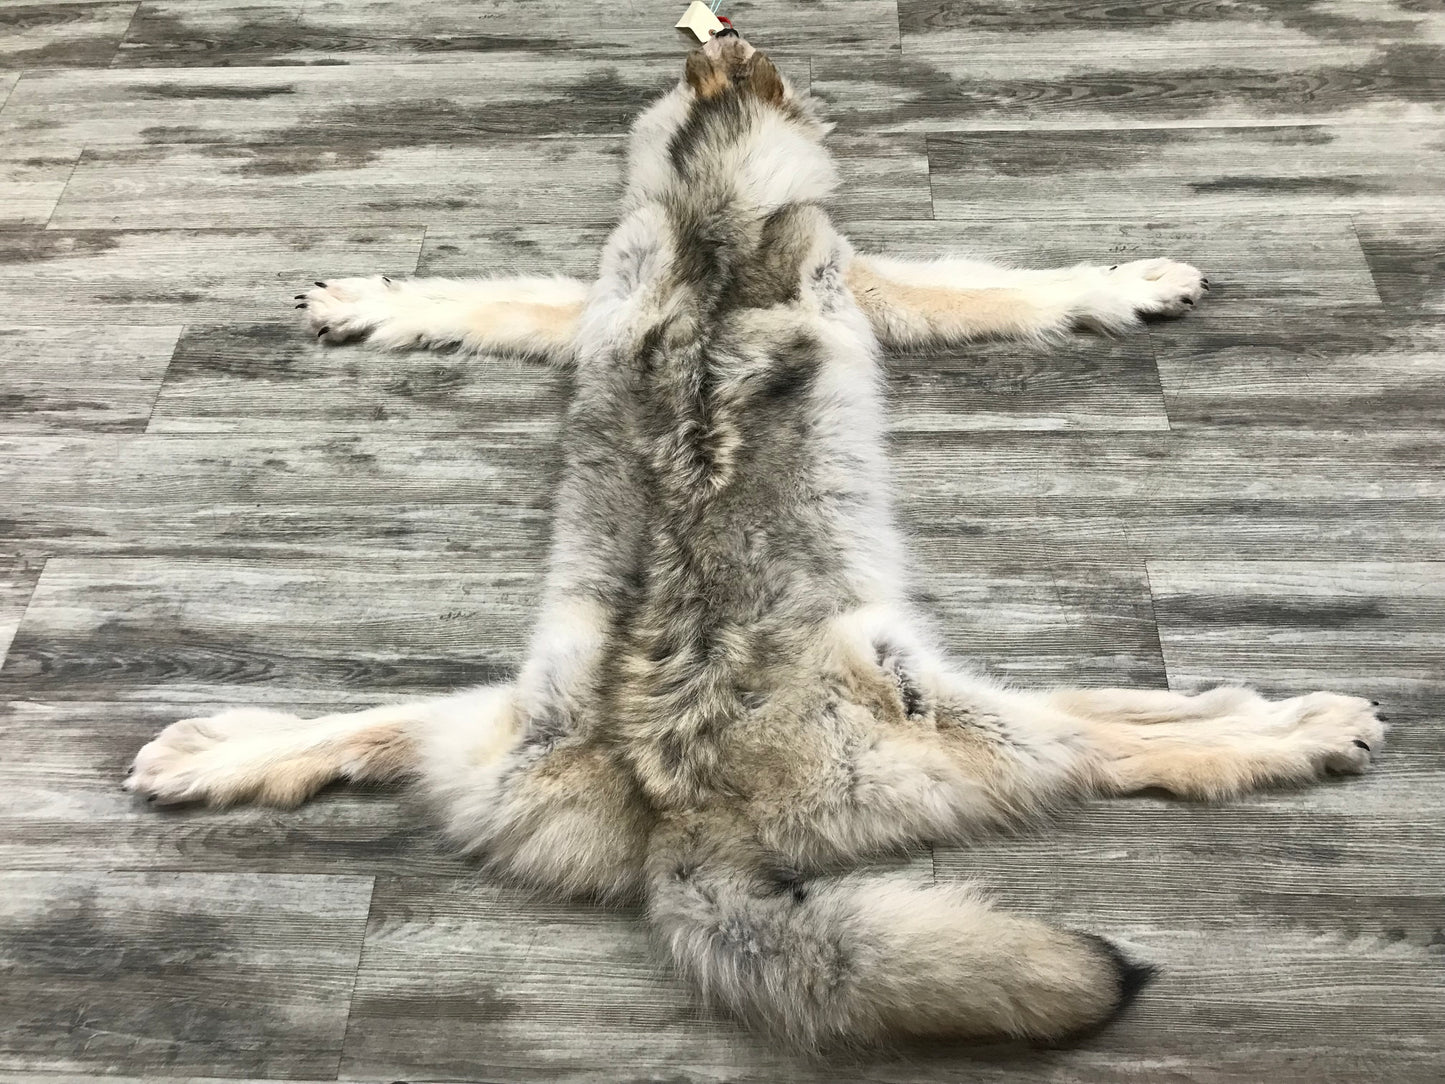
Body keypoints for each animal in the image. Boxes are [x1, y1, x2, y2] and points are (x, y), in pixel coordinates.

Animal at [126, 30, 1384, 1049]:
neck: (710, 203)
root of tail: (674, 820)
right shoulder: (875, 280)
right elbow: (1023, 284)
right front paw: (1129, 280)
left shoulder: (582, 302)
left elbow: (476, 298)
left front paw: (371, 302)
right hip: (968, 712)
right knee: (1131, 741)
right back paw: (1301, 722)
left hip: (476, 724)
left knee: (361, 730)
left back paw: (215, 752)